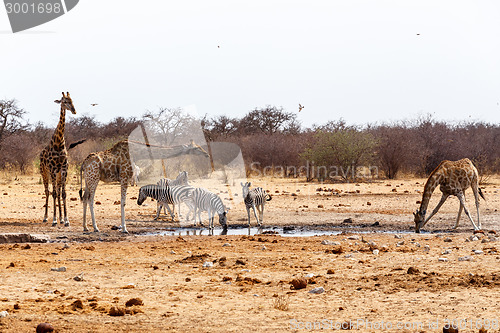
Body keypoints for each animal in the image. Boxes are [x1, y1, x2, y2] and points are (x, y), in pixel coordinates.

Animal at [39, 91, 76, 226]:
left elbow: (63, 193)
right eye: (64, 101)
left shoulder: (64, 169)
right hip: (44, 172)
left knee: (58, 192)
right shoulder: (53, 169)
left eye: (72, 100)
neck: (59, 142)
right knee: (48, 191)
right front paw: (54, 219)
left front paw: (66, 219)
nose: (74, 110)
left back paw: (61, 218)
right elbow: (54, 193)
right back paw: (46, 218)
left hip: (58, 174)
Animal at [80, 139, 209, 232]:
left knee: (85, 198)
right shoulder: (125, 177)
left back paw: (85, 227)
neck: (137, 153)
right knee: (91, 199)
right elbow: (123, 202)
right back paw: (95, 227)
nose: (206, 154)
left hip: (88, 179)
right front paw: (124, 229)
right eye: (196, 147)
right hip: (94, 178)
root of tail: (84, 163)